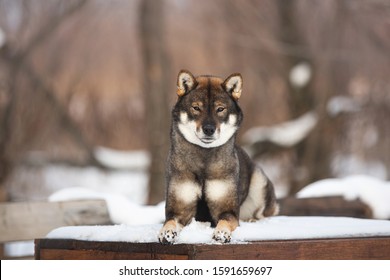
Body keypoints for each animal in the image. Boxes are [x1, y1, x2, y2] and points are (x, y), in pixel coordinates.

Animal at [157, 70, 278, 245]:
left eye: (220, 109)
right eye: (196, 108)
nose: (209, 129)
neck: (204, 160)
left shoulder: (228, 210)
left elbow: (225, 221)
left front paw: (221, 233)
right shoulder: (178, 209)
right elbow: (170, 221)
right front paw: (166, 233)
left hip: (259, 183)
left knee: (265, 213)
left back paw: (254, 220)